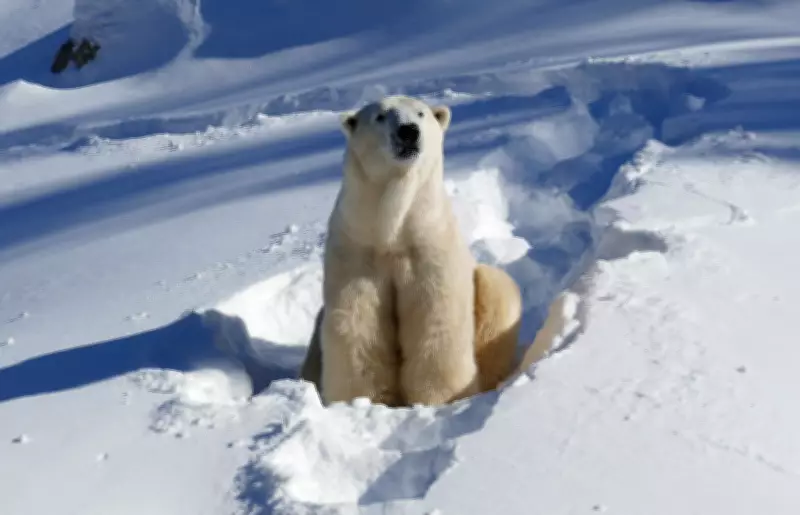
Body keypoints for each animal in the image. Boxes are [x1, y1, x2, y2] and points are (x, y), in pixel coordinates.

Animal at [300, 94, 526, 407]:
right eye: (381, 116)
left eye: (421, 113)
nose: (408, 131)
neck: (391, 232)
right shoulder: (357, 248)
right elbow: (358, 321)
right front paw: (360, 400)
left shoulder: (427, 243)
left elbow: (434, 315)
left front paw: (441, 397)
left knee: (497, 290)